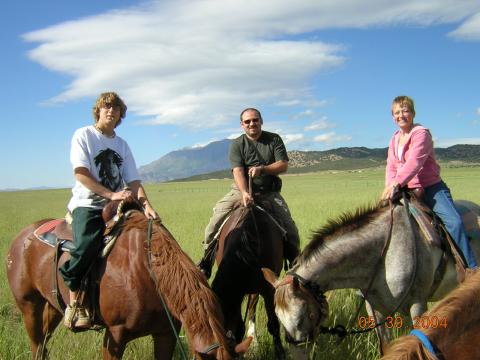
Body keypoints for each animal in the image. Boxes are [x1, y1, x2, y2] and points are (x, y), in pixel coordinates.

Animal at [6, 210, 251, 358]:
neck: (149, 275)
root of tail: (21, 236)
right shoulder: (114, 336)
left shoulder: (166, 335)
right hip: (28, 305)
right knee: (36, 343)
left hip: (54, 306)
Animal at [262, 200, 480, 354]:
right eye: (279, 319)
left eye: (301, 318)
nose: (297, 353)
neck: (383, 256)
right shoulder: (374, 309)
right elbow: (387, 347)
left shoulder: (418, 304)